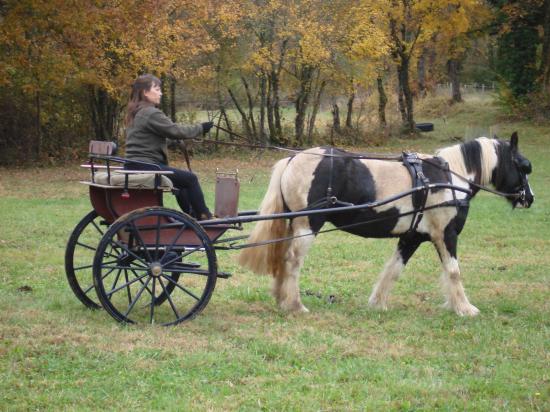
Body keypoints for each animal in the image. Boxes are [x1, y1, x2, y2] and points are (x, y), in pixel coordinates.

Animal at [239, 134, 536, 318]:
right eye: (523, 166)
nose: (529, 198)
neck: (450, 178)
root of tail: (293, 159)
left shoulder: (412, 238)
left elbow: (393, 270)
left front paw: (377, 303)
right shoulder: (446, 234)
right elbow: (453, 272)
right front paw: (464, 308)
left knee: (282, 257)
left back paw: (281, 299)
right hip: (308, 225)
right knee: (292, 260)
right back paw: (295, 305)